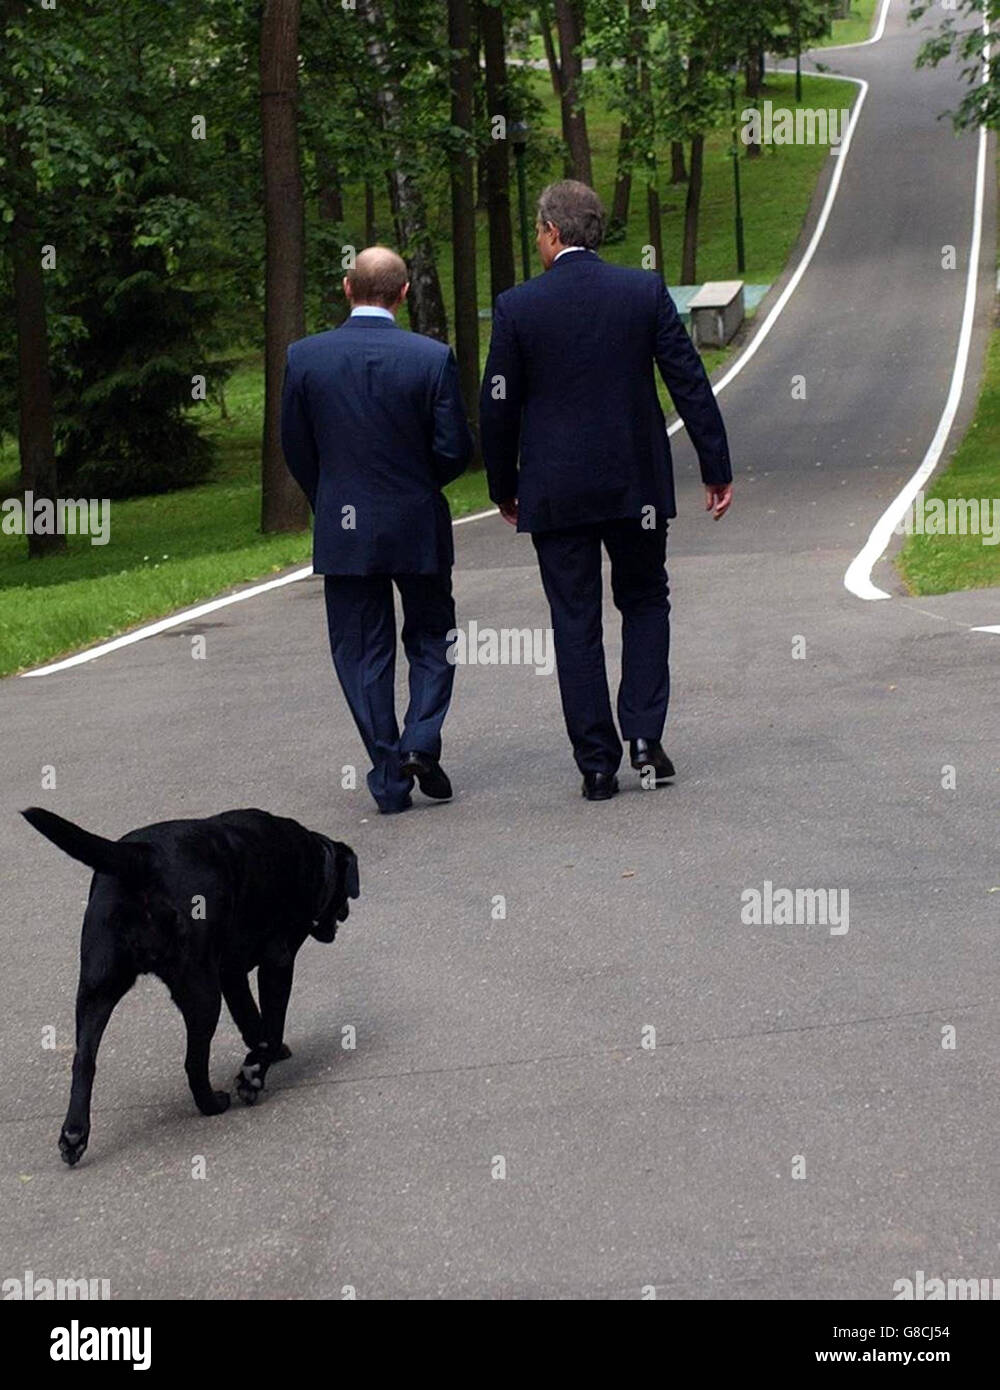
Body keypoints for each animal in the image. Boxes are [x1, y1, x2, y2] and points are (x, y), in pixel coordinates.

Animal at [21, 811, 358, 1167]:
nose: (347, 913)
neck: (315, 858)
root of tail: (140, 856)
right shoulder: (276, 963)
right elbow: (271, 1026)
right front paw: (254, 1073)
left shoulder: (230, 973)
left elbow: (252, 1019)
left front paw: (263, 1057)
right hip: (201, 993)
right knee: (193, 1062)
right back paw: (213, 1103)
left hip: (96, 989)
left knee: (83, 1061)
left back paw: (74, 1135)